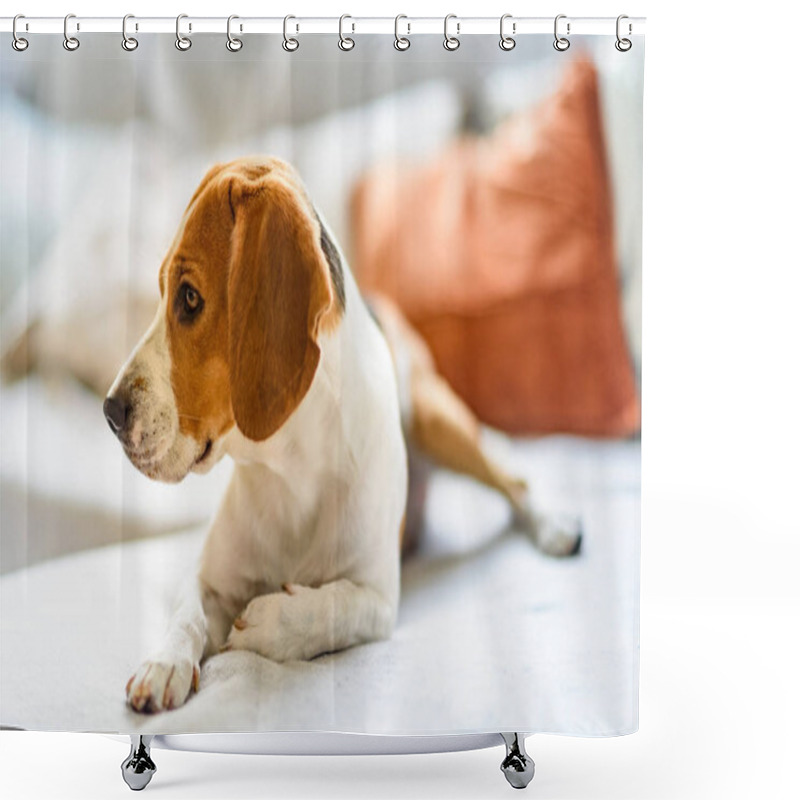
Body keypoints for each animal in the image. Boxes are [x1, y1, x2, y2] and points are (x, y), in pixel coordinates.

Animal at [106, 156, 580, 712]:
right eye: (162, 292)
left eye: (189, 298)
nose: (109, 412)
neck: (287, 472)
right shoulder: (208, 577)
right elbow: (187, 614)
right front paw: (165, 661)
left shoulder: (378, 598)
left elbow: (329, 608)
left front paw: (272, 620)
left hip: (434, 422)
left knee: (515, 482)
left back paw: (554, 526)